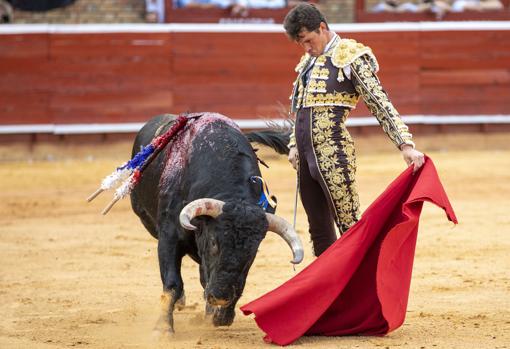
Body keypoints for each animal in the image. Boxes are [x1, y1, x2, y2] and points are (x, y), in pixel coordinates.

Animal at [129, 113, 302, 334]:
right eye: (213, 242)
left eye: (252, 252)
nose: (220, 297)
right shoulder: (169, 237)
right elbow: (172, 282)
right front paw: (164, 328)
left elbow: (233, 282)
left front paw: (220, 316)